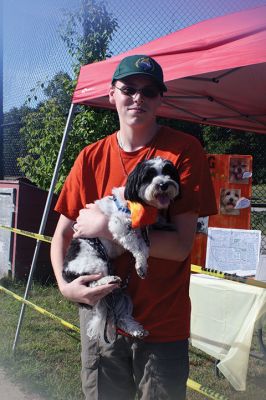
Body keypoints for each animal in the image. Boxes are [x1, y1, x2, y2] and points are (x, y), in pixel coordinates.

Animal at [62, 158, 180, 342]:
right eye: (149, 175)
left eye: (168, 172)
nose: (163, 184)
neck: (138, 205)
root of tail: (67, 272)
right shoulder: (120, 226)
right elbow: (137, 246)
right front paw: (141, 263)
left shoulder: (143, 230)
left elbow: (145, 244)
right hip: (95, 263)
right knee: (92, 283)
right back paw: (108, 280)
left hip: (120, 295)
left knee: (120, 315)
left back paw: (135, 330)